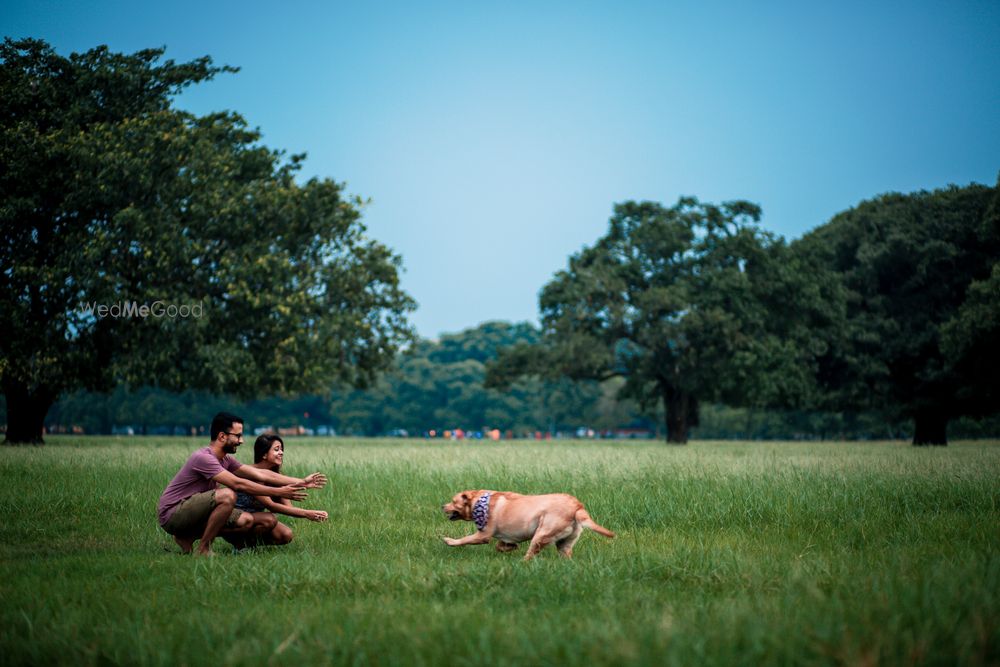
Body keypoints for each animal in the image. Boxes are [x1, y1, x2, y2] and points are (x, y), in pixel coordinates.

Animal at [442, 490, 612, 560]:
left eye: (453, 501)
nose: (442, 506)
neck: (478, 500)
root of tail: (577, 506)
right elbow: (501, 545)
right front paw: (509, 548)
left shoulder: (483, 535)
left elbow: (465, 539)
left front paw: (450, 541)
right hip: (564, 543)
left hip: (541, 534)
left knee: (530, 555)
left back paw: (522, 563)